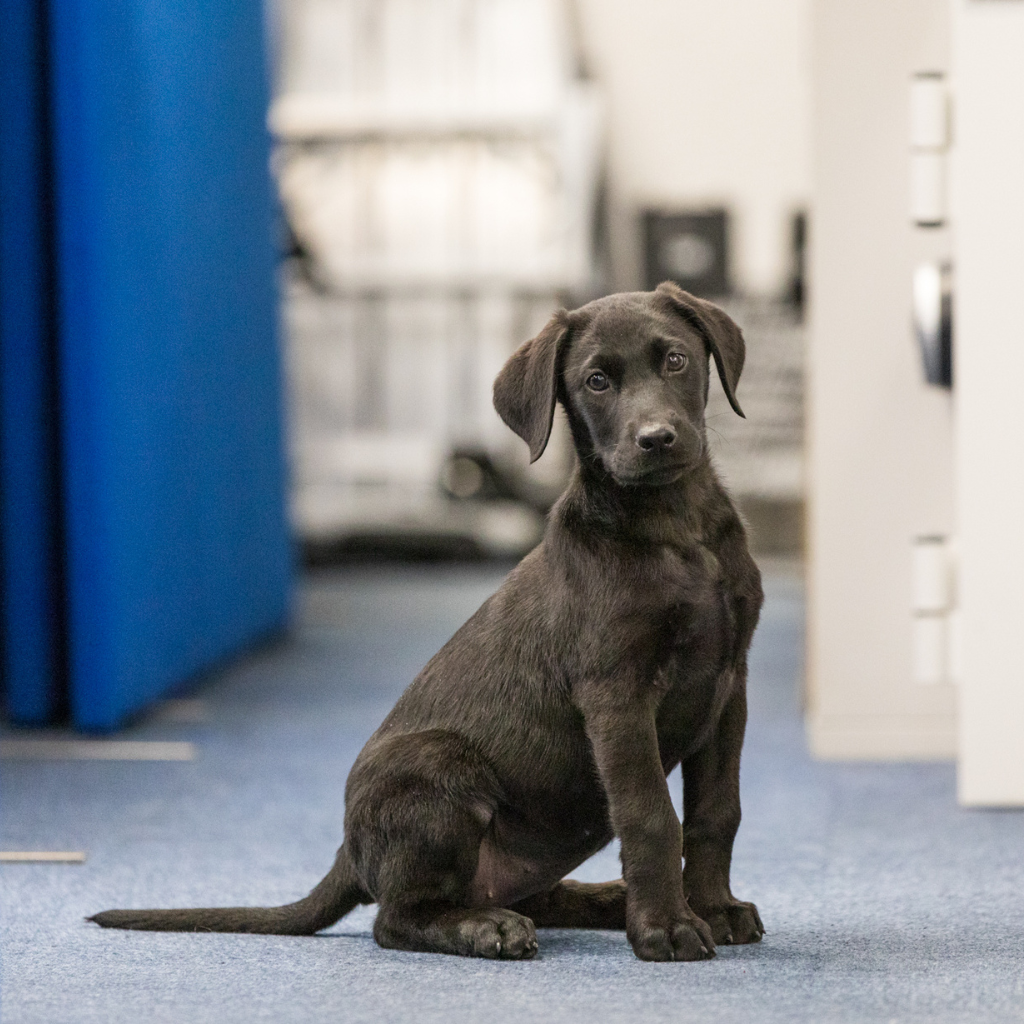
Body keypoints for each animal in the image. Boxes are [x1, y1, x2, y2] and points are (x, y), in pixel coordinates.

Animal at [94, 280, 761, 958]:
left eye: (675, 360)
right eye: (596, 381)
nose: (657, 438)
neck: (677, 526)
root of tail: (349, 851)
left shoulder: (728, 683)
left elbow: (716, 812)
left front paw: (713, 908)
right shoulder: (616, 694)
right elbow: (651, 815)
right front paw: (667, 926)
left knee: (526, 896)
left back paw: (601, 900)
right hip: (437, 766)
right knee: (397, 918)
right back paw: (489, 927)